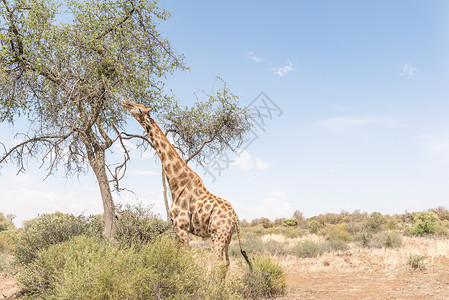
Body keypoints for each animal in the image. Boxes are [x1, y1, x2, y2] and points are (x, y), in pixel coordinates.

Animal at [121, 100, 250, 270]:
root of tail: (235, 217)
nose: (125, 102)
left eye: (140, 109)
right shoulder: (176, 228)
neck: (176, 183)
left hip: (218, 235)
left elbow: (186, 258)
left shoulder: (181, 227)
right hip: (227, 237)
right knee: (226, 263)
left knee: (217, 262)